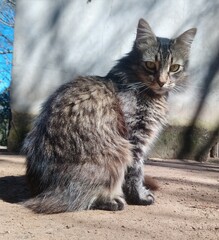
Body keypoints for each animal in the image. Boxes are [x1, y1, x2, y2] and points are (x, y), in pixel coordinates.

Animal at [22, 19, 197, 214]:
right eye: (150, 65)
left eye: (174, 68)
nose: (162, 82)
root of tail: (42, 190)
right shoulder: (135, 138)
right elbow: (136, 172)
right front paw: (139, 197)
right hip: (116, 153)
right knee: (78, 200)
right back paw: (112, 200)